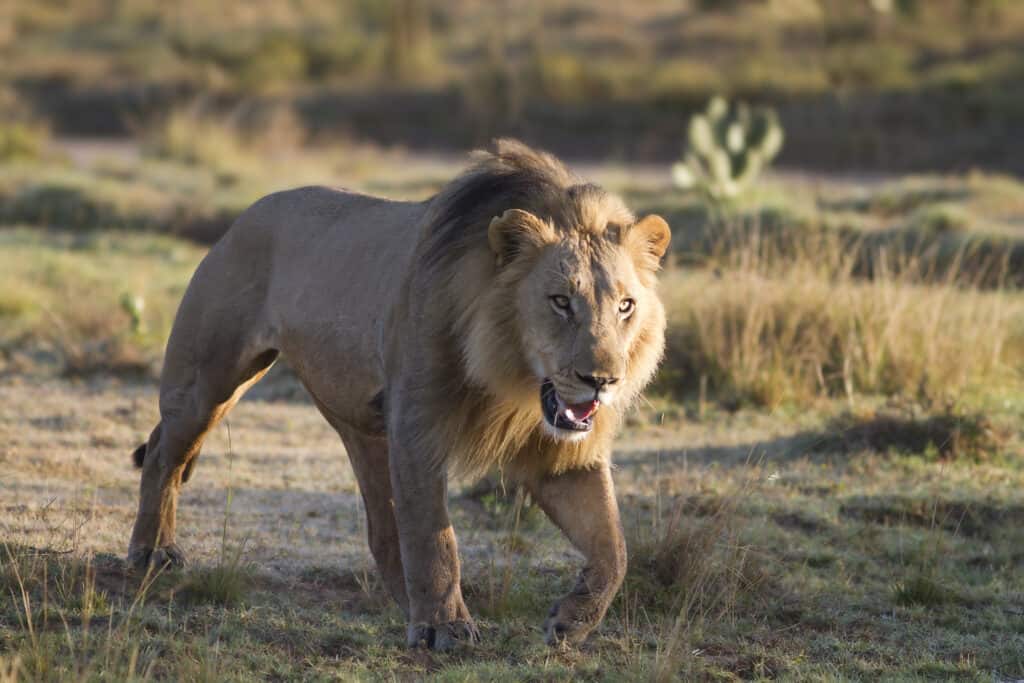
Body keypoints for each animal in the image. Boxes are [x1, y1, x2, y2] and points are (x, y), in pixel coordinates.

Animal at [125, 137, 671, 647]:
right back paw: (152, 552)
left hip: (362, 425)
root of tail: (246, 215)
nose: (602, 380)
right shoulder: (417, 428)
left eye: (625, 306)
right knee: (164, 451)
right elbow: (434, 538)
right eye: (560, 302)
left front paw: (572, 619)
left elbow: (614, 549)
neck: (510, 378)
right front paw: (445, 628)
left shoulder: (564, 456)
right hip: (209, 381)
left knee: (382, 528)